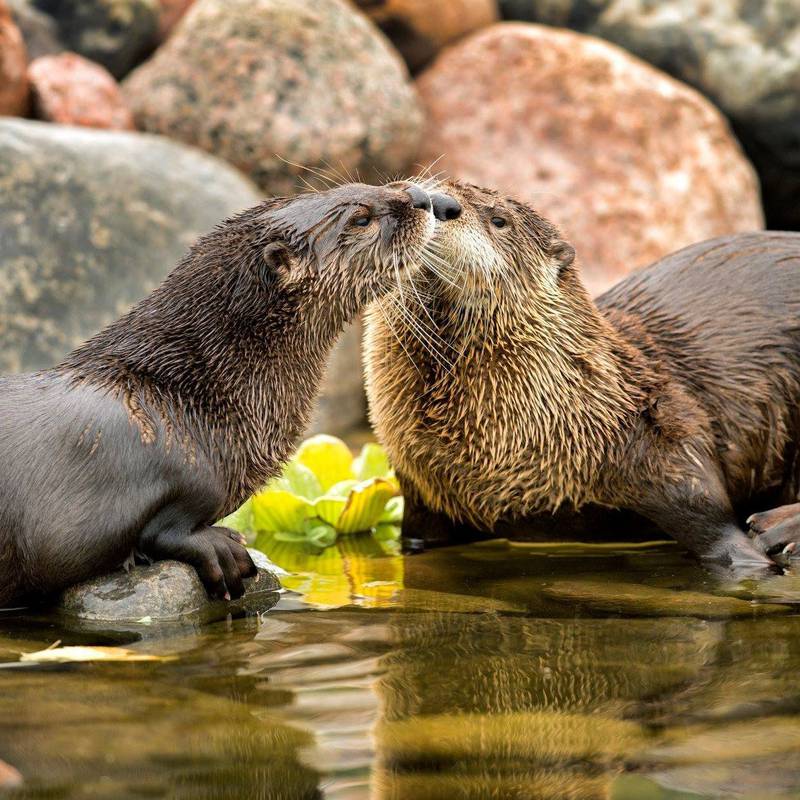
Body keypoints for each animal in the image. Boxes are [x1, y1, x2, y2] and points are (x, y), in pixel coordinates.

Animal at [0, 182, 439, 607]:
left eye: (358, 184)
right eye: (361, 219)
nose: (420, 197)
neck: (190, 394)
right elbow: (149, 534)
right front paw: (223, 550)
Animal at [365, 180, 800, 574]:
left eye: (499, 220)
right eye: (424, 192)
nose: (441, 203)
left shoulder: (658, 424)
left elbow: (707, 512)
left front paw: (749, 554)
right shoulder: (421, 495)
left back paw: (775, 528)